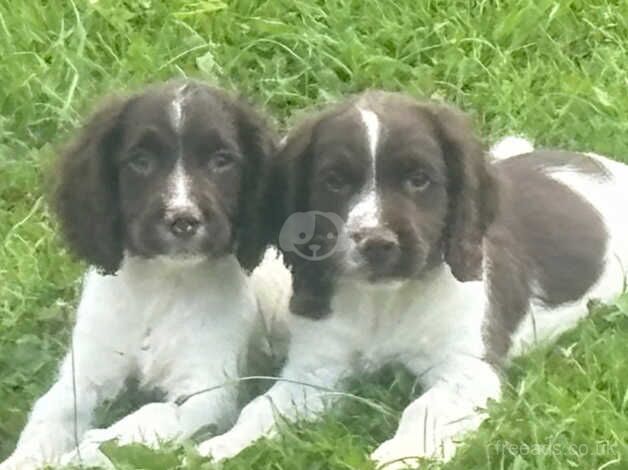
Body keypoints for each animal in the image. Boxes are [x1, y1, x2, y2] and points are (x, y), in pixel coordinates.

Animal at [0, 81, 280, 470]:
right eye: (140, 162)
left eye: (222, 161)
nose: (183, 221)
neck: (162, 284)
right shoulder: (86, 371)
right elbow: (49, 414)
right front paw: (26, 458)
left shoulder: (206, 389)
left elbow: (146, 417)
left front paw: (82, 454)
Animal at [197, 91, 628, 466]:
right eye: (334, 181)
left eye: (419, 179)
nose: (377, 244)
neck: (384, 301)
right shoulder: (317, 368)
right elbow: (261, 408)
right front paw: (223, 445)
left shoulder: (467, 370)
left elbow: (423, 410)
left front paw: (397, 456)